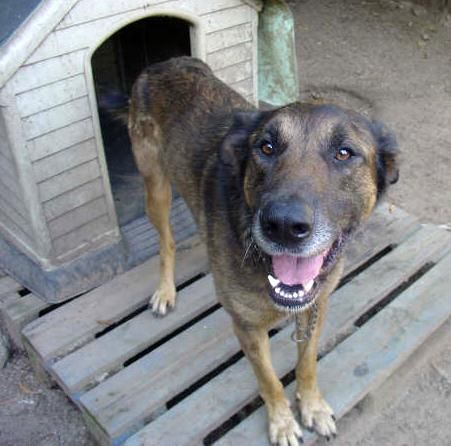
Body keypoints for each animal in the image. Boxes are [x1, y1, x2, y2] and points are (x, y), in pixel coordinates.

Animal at [123, 57, 400, 444]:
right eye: (266, 147)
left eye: (344, 153)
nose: (283, 225)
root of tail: (167, 62)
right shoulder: (247, 327)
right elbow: (269, 381)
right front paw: (282, 422)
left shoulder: (317, 306)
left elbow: (307, 362)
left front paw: (312, 405)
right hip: (155, 186)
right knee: (167, 241)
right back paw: (165, 290)